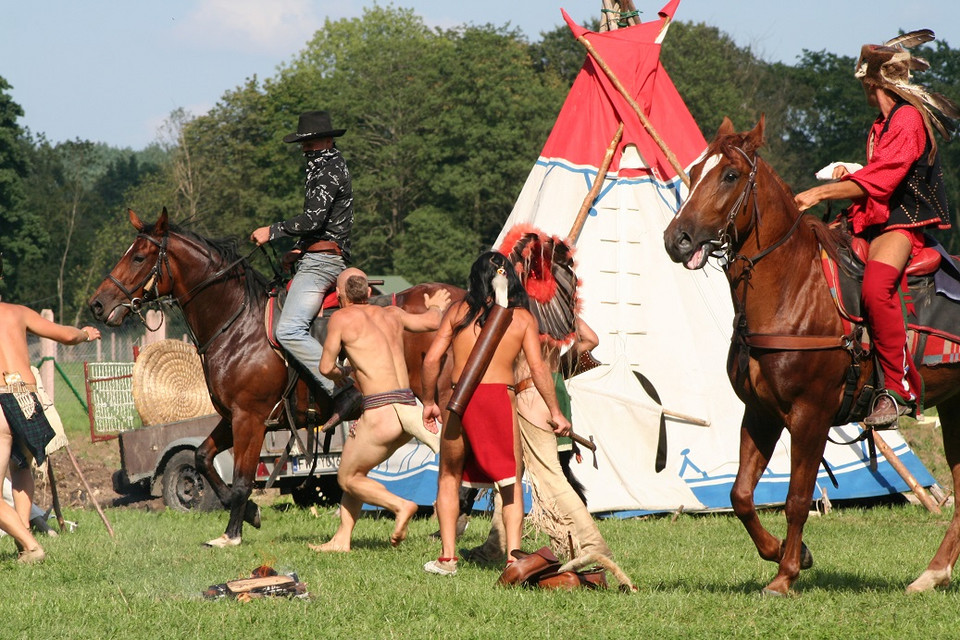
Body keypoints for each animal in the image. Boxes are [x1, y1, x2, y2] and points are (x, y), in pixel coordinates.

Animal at [90, 209, 464, 544]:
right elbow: (203, 457)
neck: (238, 323)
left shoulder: (250, 418)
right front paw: (251, 512)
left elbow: (242, 479)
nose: (97, 304)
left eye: (139, 257)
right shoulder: (232, 416)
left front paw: (232, 533)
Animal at [664, 116, 960, 596]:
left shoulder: (811, 415)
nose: (677, 239)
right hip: (953, 408)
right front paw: (790, 553)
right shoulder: (761, 412)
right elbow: (740, 495)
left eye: (730, 175)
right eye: (692, 173)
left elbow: (798, 498)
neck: (792, 289)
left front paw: (785, 575)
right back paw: (931, 574)